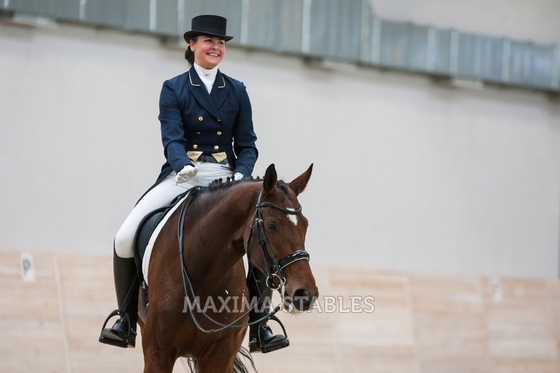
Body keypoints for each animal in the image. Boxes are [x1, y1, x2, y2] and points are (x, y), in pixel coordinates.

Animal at [138, 164, 318, 372]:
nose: (305, 294)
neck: (202, 277)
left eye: (306, 225)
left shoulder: (221, 354)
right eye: (272, 225)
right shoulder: (158, 353)